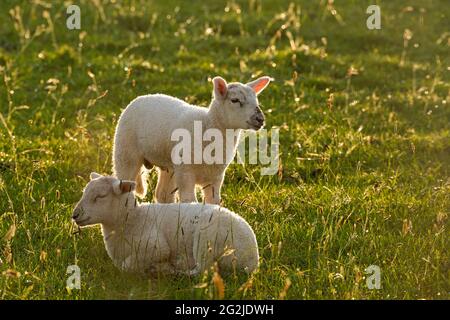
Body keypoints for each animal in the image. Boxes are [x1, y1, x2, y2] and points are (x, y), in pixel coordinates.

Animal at [71, 172, 258, 276]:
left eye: (100, 196)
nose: (75, 215)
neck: (133, 220)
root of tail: (252, 259)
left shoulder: (155, 246)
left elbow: (127, 266)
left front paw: (156, 267)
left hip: (206, 239)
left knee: (201, 271)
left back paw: (170, 271)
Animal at [112, 76, 270, 204]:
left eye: (256, 101)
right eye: (235, 100)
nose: (260, 119)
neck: (207, 124)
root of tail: (143, 97)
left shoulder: (216, 177)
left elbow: (213, 203)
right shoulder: (186, 173)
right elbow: (190, 201)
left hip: (169, 166)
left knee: (163, 195)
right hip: (125, 154)